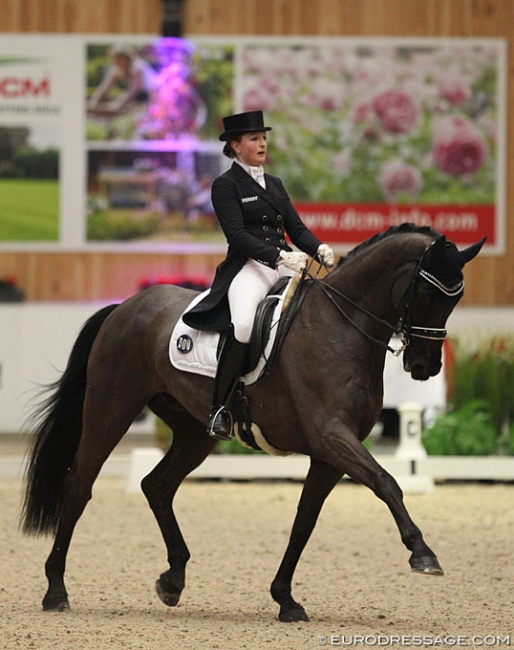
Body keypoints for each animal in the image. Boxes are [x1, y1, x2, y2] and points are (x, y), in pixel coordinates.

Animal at [22, 223, 482, 616]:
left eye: (456, 299)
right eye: (428, 294)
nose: (424, 367)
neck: (339, 327)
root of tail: (124, 307)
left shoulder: (329, 454)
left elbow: (304, 521)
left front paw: (286, 599)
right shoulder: (333, 437)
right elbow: (387, 482)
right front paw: (423, 554)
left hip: (196, 431)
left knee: (157, 485)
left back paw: (172, 580)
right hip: (110, 408)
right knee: (79, 485)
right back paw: (55, 591)